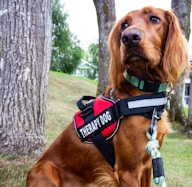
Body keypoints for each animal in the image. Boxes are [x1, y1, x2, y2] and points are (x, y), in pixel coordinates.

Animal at [26, 6, 189, 186]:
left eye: (154, 19)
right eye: (124, 24)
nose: (129, 37)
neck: (145, 94)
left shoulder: (148, 165)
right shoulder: (128, 171)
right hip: (45, 168)